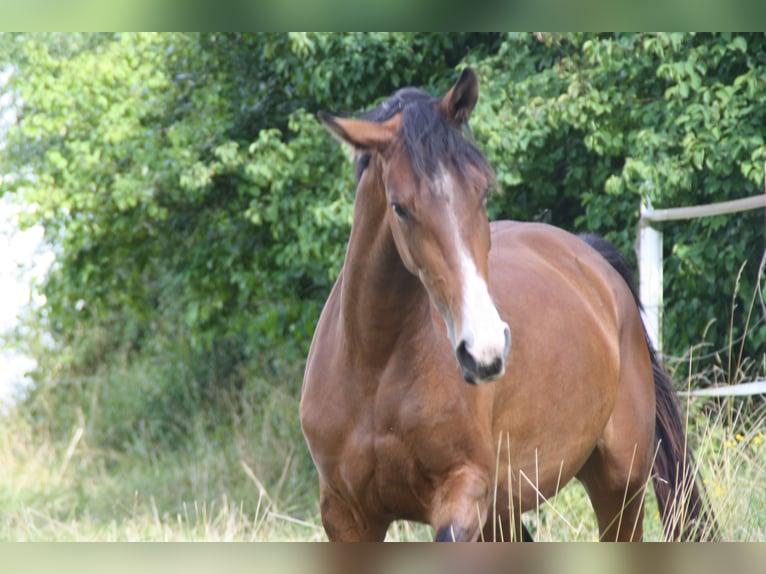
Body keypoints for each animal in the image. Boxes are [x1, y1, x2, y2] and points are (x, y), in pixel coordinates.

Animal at [298, 68, 712, 544]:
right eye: (399, 208)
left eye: (482, 192)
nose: (485, 351)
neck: (375, 371)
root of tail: (590, 261)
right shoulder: (346, 516)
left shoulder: (463, 497)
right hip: (508, 512)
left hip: (618, 483)